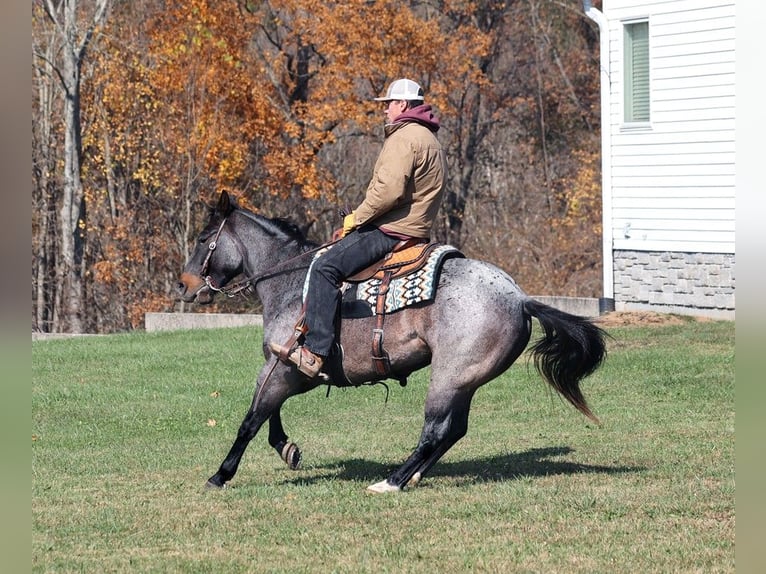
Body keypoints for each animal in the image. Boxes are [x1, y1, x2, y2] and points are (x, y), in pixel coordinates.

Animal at [177, 192, 608, 496]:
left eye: (203, 238)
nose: (184, 286)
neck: (291, 282)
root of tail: (519, 298)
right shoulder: (287, 368)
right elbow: (268, 413)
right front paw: (287, 448)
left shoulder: (285, 368)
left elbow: (252, 420)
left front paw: (221, 474)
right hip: (464, 381)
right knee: (453, 430)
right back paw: (412, 476)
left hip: (448, 377)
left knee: (435, 431)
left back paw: (394, 480)